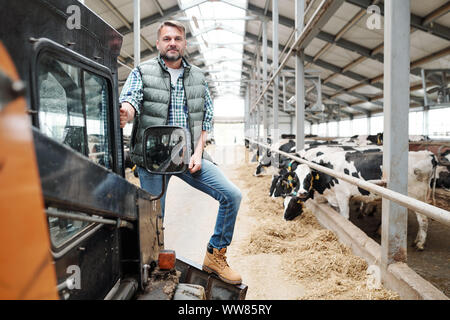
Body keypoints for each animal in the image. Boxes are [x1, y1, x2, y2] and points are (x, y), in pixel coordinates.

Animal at [280, 149, 438, 251]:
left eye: (308, 178)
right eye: (295, 179)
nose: (302, 192)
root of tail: (426, 154)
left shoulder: (342, 196)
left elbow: (344, 218)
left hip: (417, 198)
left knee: (423, 220)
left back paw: (419, 243)